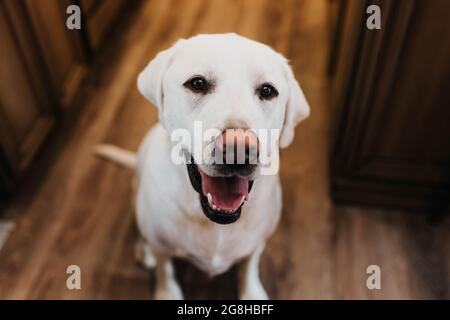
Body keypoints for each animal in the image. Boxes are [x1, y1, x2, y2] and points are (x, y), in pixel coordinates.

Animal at [97, 33, 310, 298]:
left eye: (267, 90)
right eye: (197, 83)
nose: (239, 148)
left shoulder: (258, 242)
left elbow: (249, 264)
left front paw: (252, 291)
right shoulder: (162, 245)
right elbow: (165, 268)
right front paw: (167, 291)